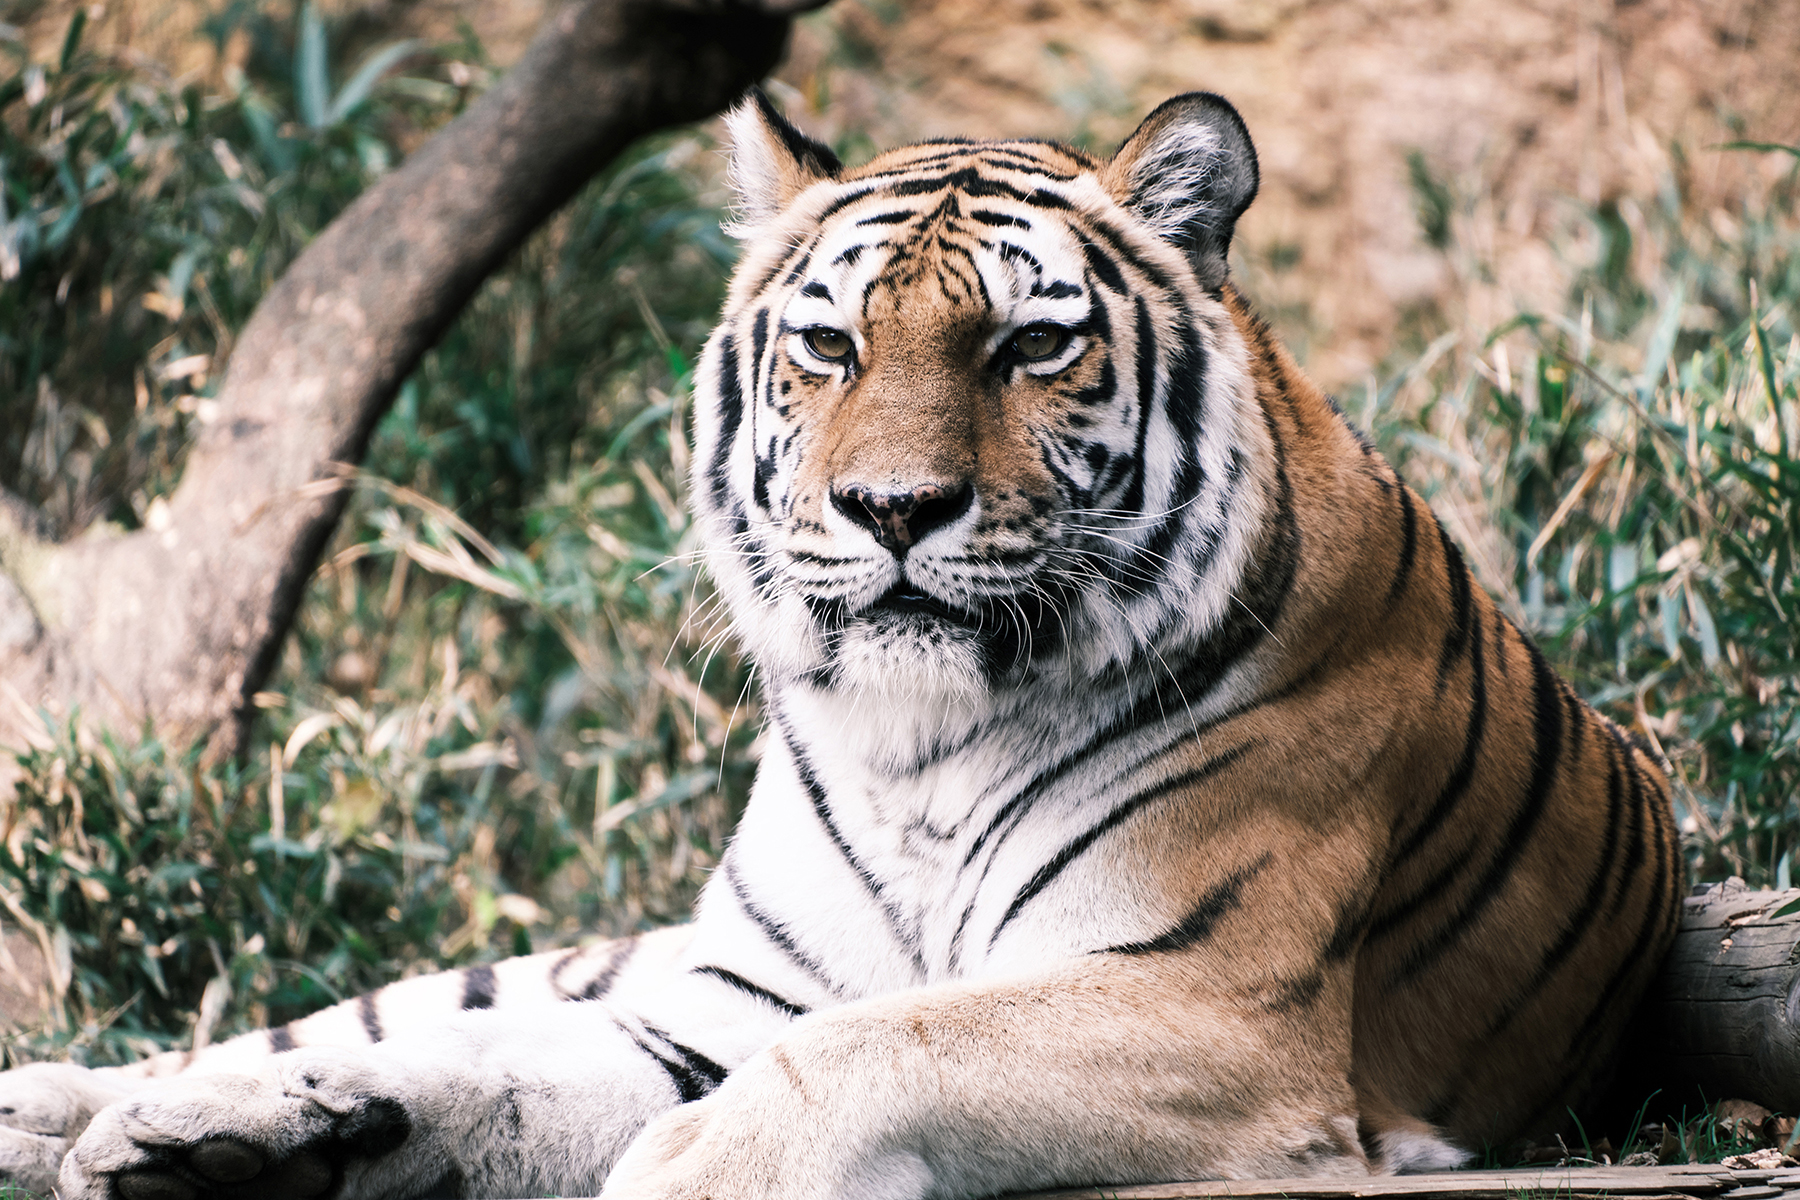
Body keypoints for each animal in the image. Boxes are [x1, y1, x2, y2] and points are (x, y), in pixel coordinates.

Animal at [0, 89, 1680, 1200]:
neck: (919, 748)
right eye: (830, 345)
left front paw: (686, 1170)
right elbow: (513, 1071)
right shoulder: (727, 1001)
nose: (892, 509)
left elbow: (897, 1040)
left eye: (1033, 345)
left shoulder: (1209, 1001)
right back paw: (87, 1109)